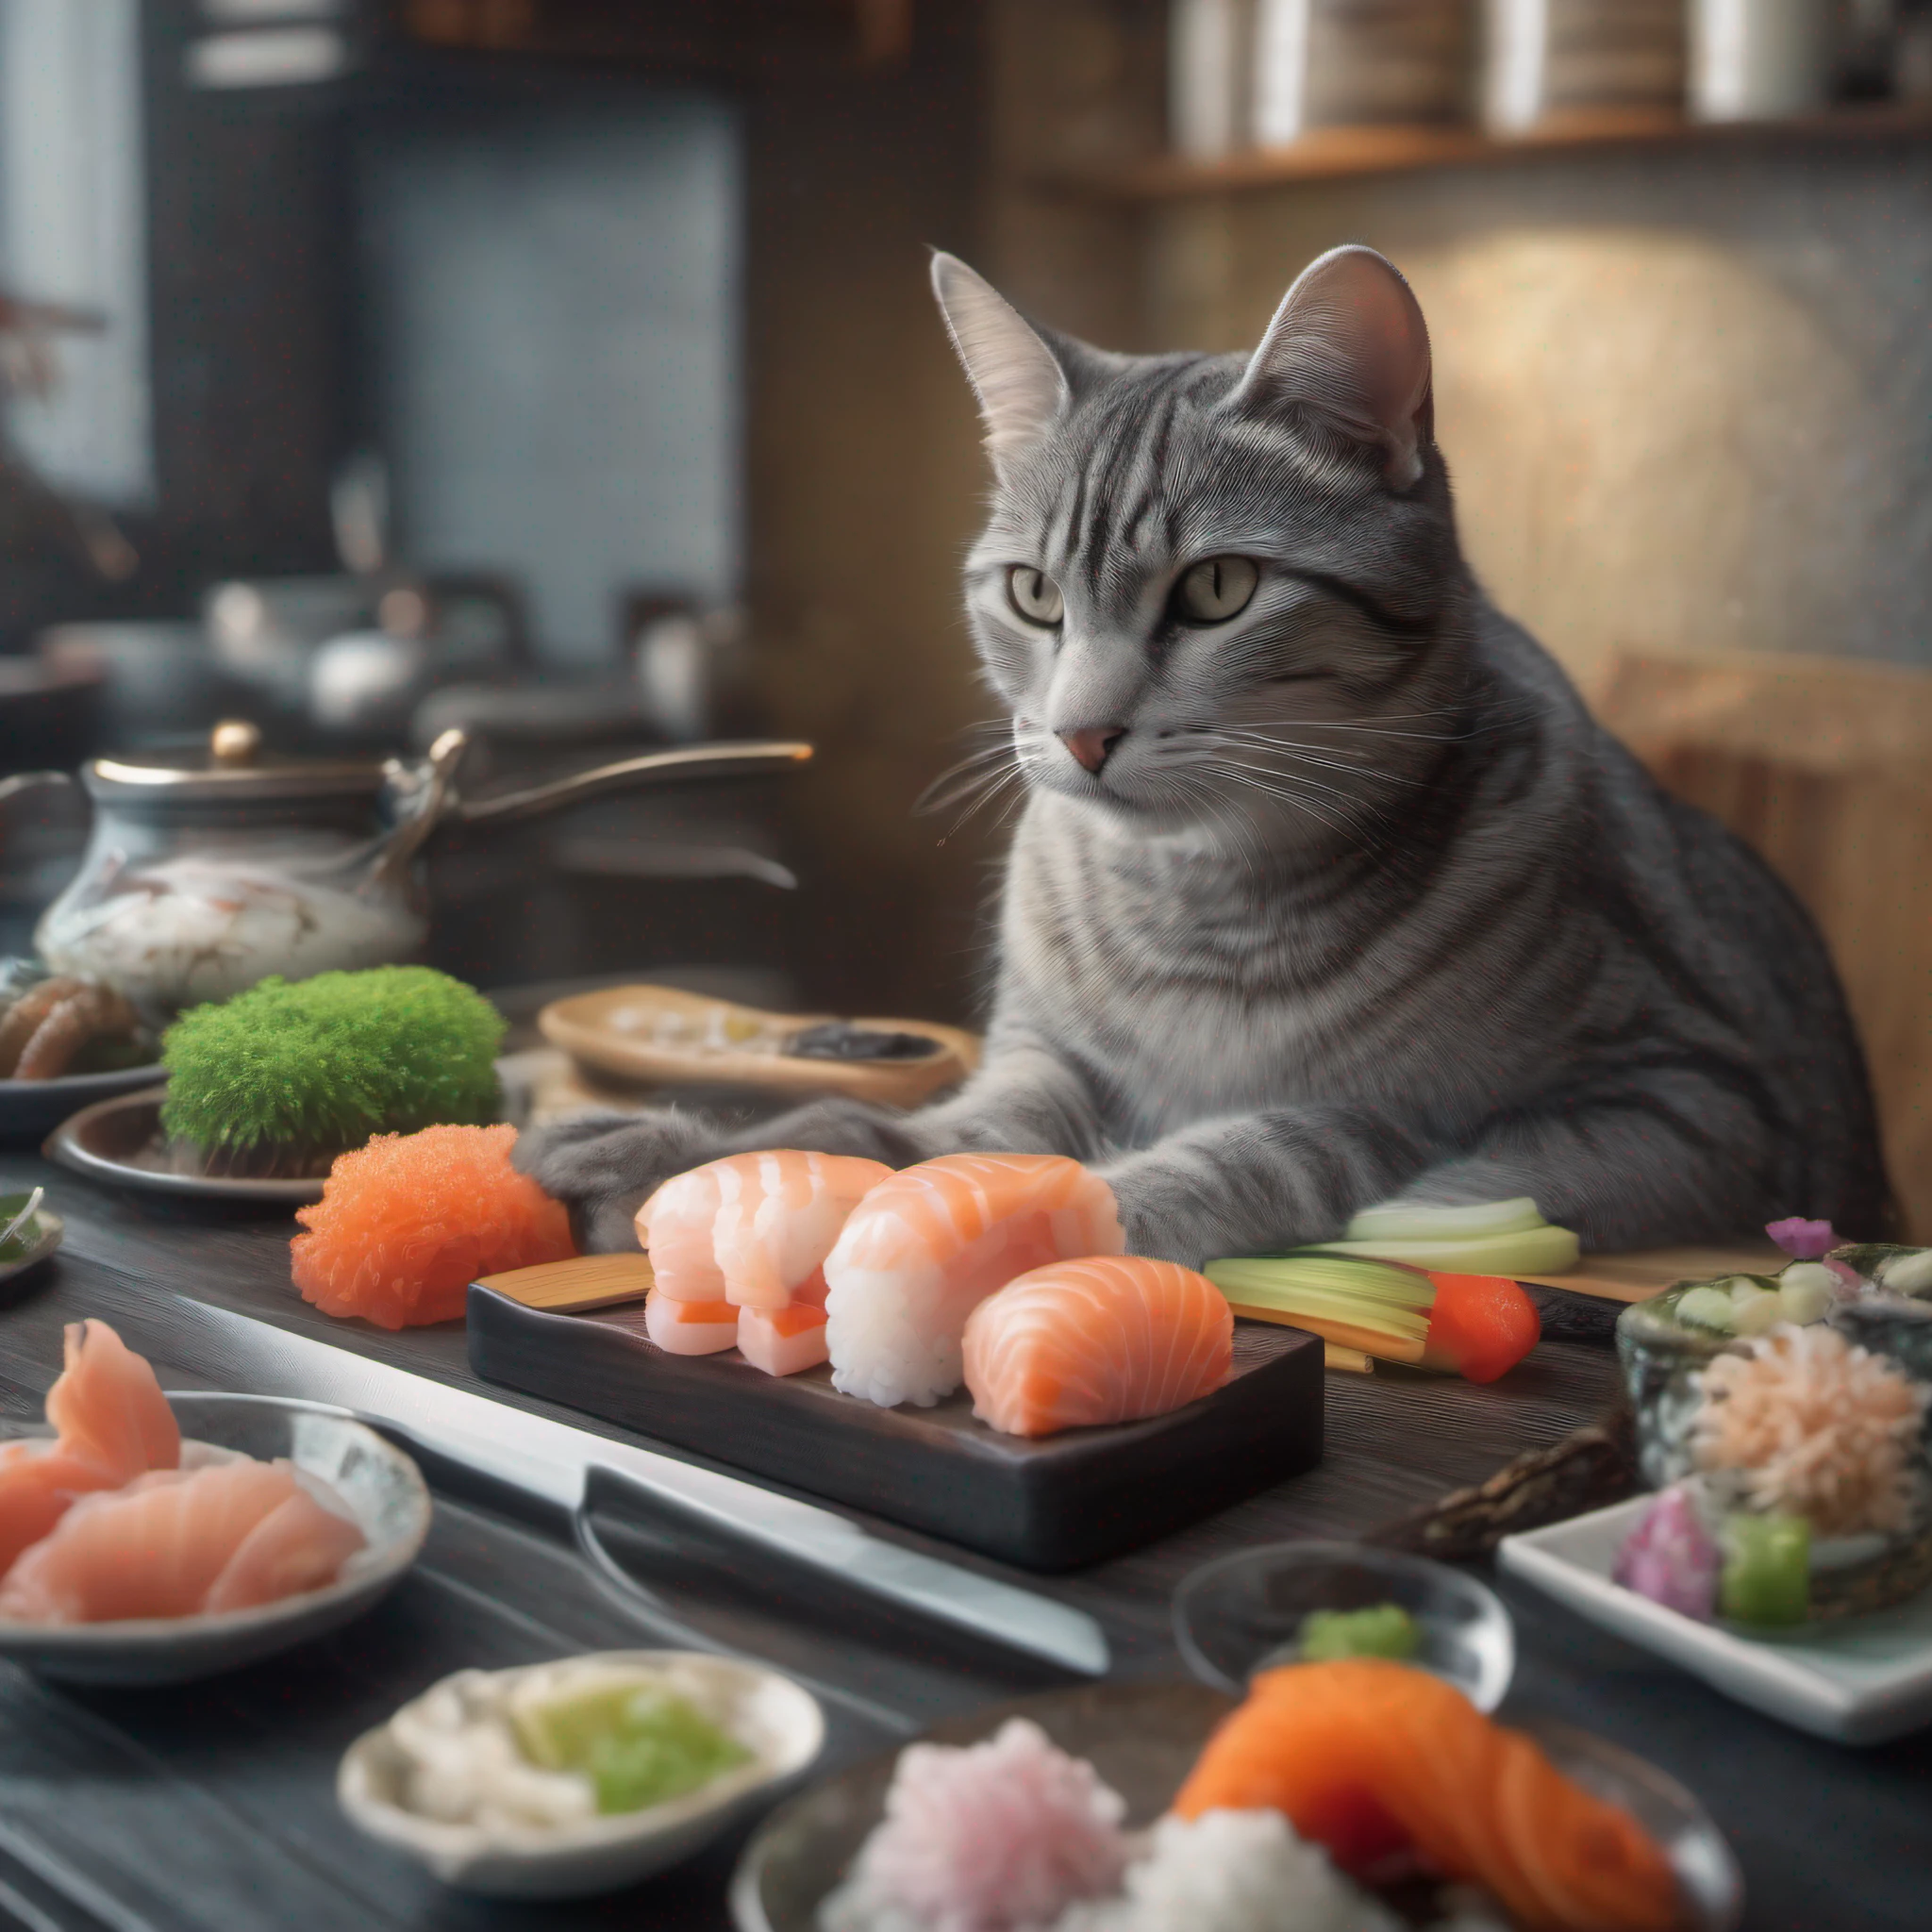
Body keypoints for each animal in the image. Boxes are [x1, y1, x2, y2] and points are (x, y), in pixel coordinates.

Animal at [521, 242, 1877, 1259]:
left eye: (1219, 589)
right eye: (1030, 593)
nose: (1081, 728)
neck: (1202, 902)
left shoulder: (1685, 1096)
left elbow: (1313, 1139)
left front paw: (1081, 1218)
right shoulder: (1037, 1061)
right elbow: (893, 1134)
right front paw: (687, 1151)